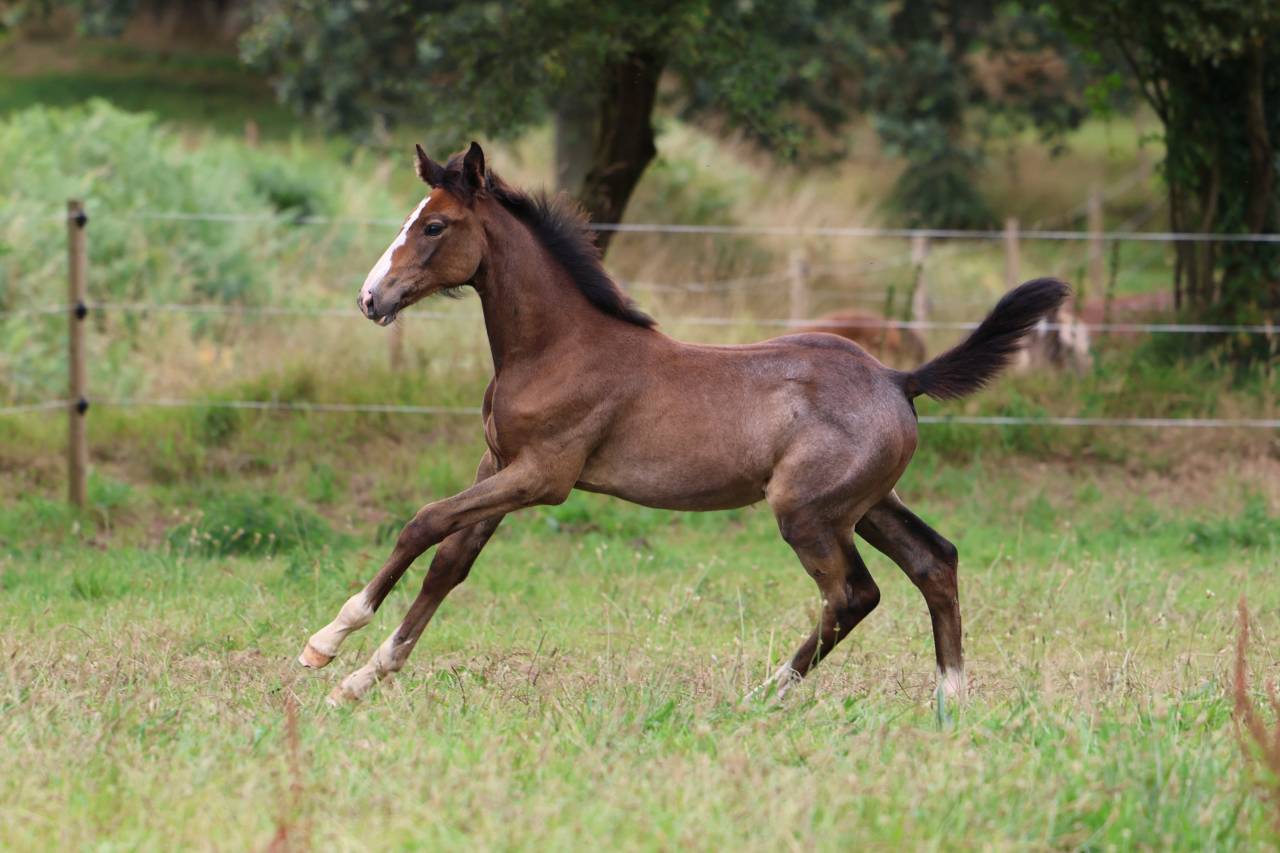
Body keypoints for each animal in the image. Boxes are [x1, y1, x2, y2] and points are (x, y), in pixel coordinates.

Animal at [298, 142, 1069, 706]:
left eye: (434, 225)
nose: (370, 299)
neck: (557, 346)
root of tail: (899, 380)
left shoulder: (541, 476)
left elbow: (422, 523)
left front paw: (327, 642)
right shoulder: (499, 465)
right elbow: (450, 563)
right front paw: (361, 679)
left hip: (808, 511)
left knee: (854, 594)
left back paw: (764, 694)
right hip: (870, 503)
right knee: (935, 561)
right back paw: (950, 700)